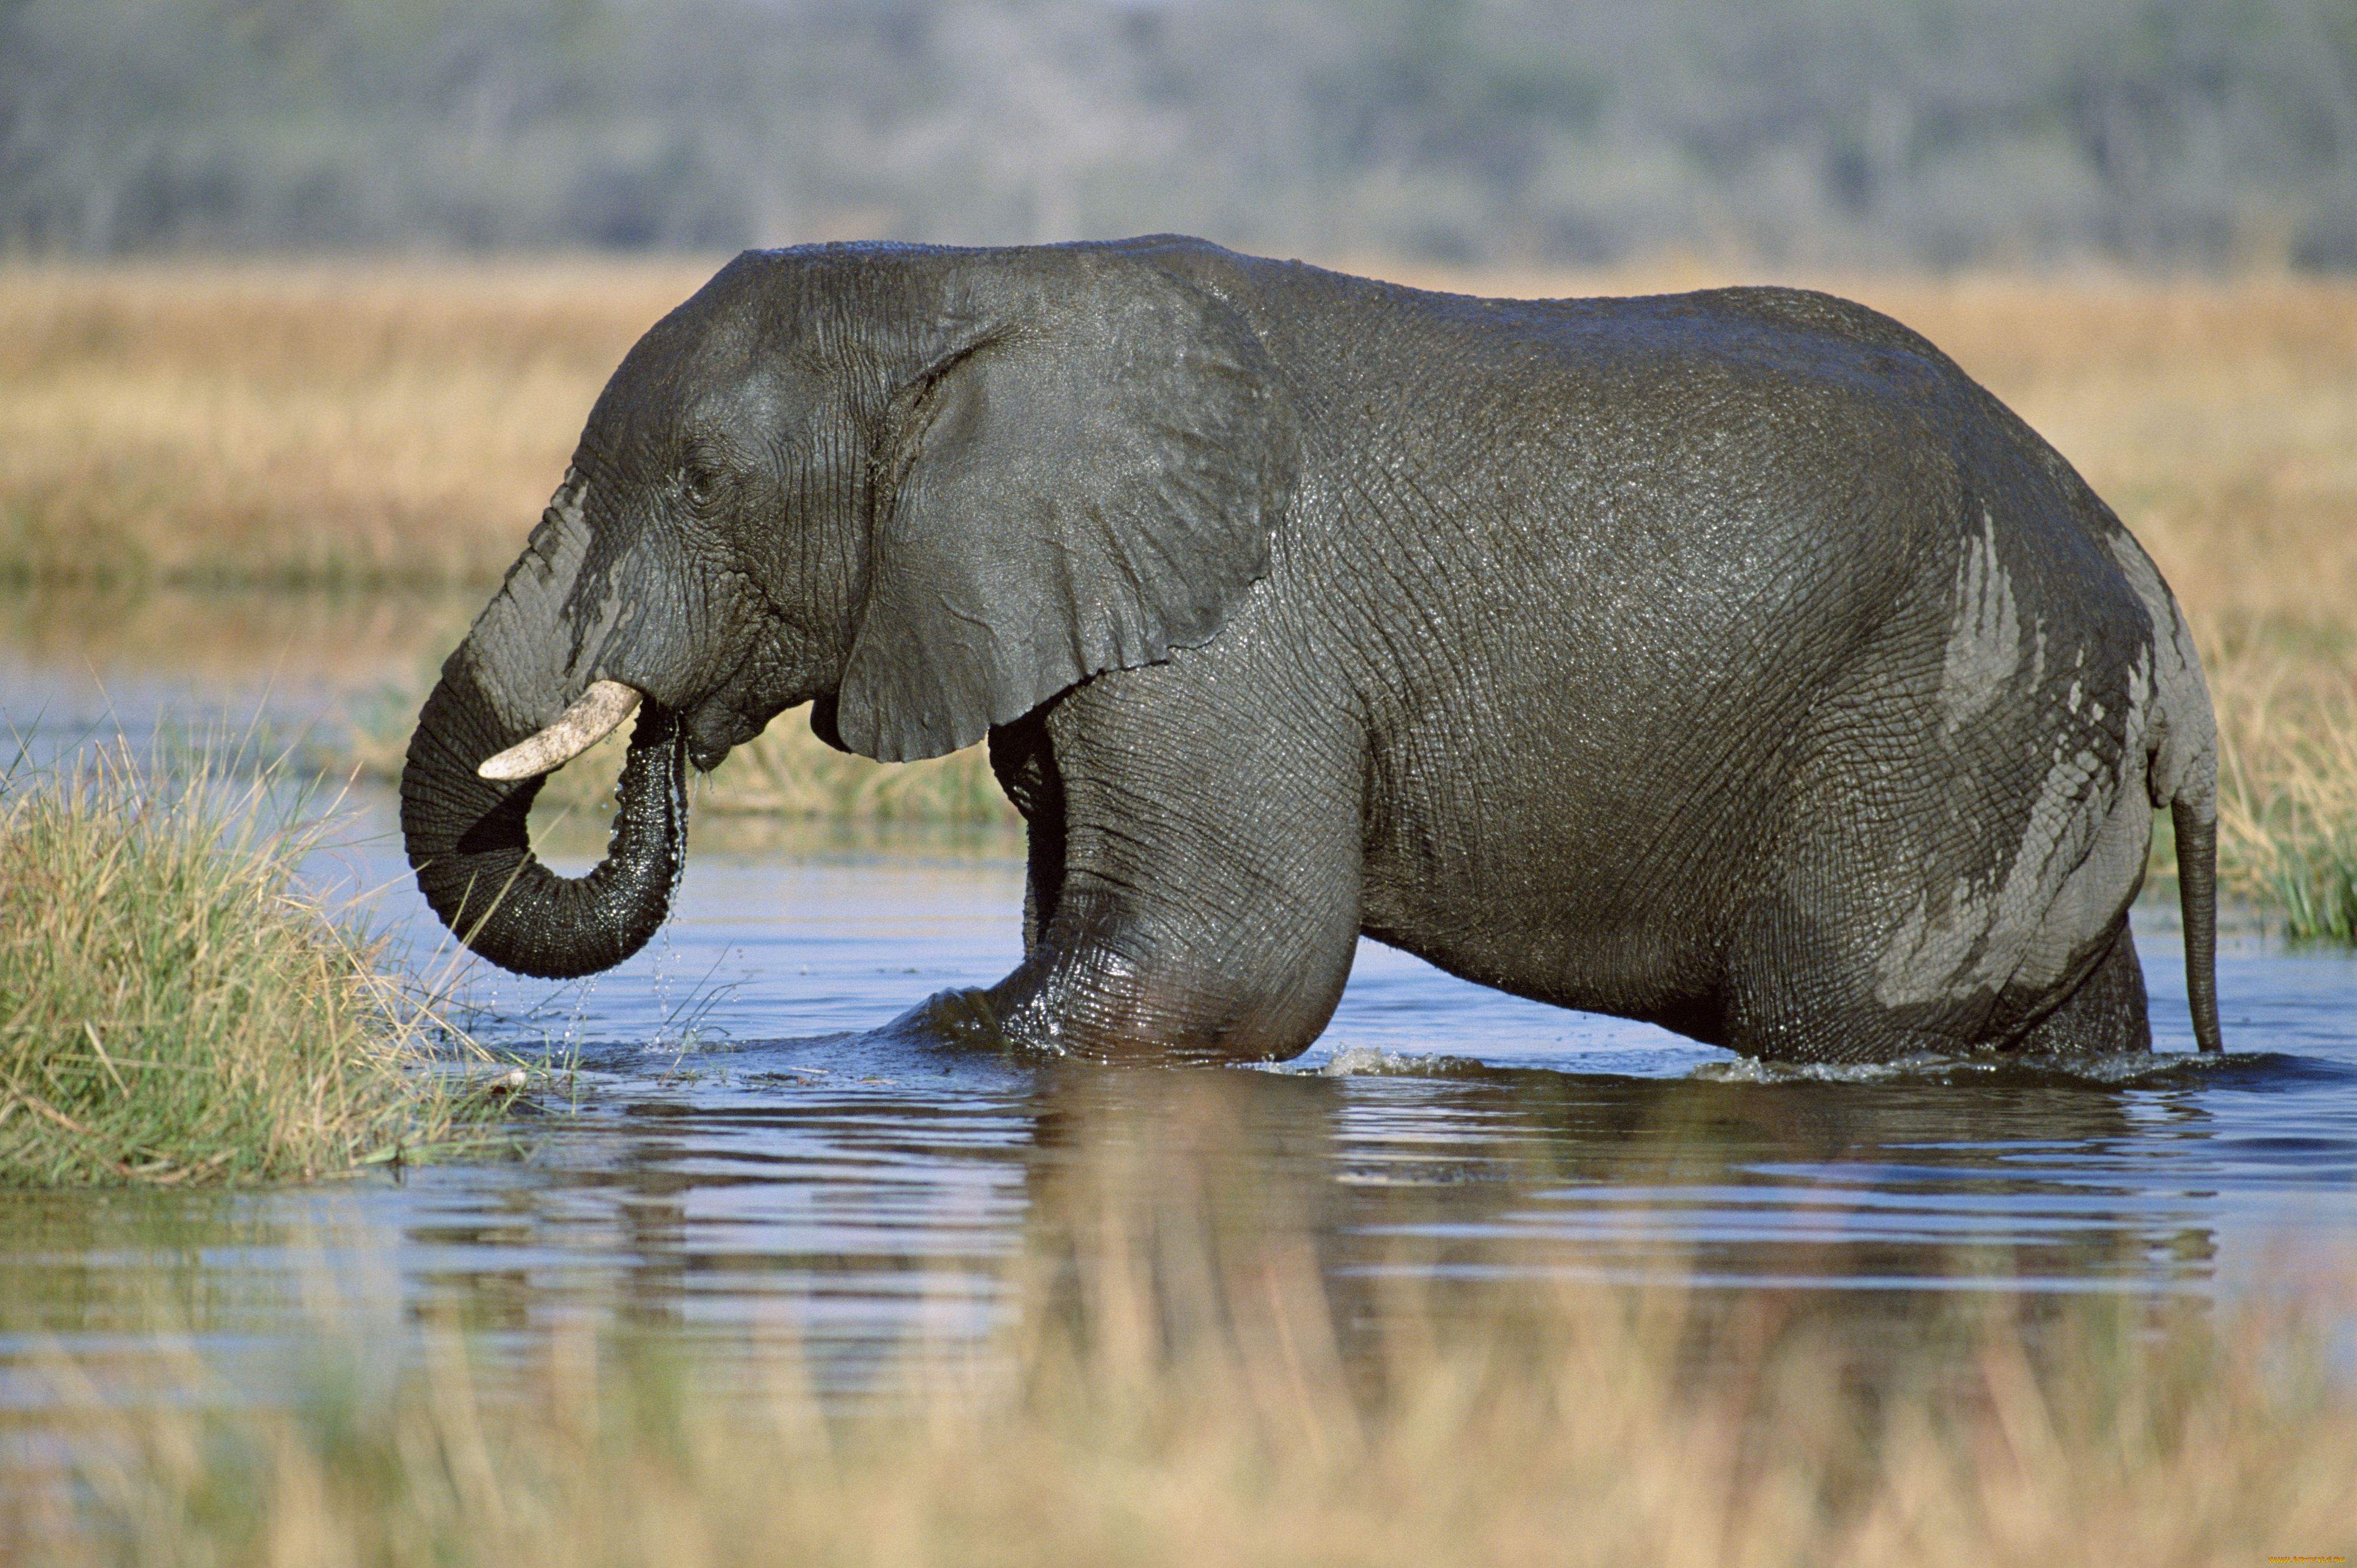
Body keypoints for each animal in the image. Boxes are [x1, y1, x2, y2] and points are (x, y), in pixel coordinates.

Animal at [396, 232, 2216, 1065]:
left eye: (703, 483)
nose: (661, 732)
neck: (967, 286)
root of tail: (2148, 589)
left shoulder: (1226, 645)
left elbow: (1228, 960)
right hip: (2022, 752)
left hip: (1946, 725)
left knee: (1837, 1012)